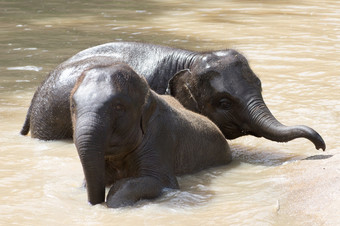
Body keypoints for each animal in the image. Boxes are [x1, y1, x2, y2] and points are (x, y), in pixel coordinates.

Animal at [70, 59, 232, 207]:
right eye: (72, 106)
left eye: (118, 107)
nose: (95, 203)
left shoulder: (160, 136)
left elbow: (161, 182)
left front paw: (116, 202)